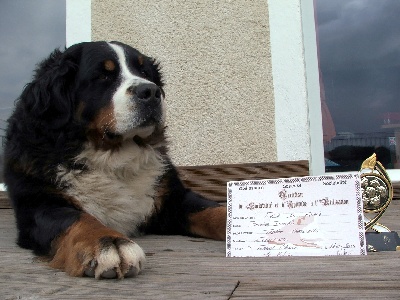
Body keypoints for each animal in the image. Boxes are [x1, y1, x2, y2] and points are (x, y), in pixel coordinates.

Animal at [3, 41, 227, 278]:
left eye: (144, 72)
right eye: (104, 75)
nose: (151, 91)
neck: (114, 157)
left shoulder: (173, 198)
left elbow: (213, 211)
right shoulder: (40, 205)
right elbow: (77, 218)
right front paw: (109, 242)